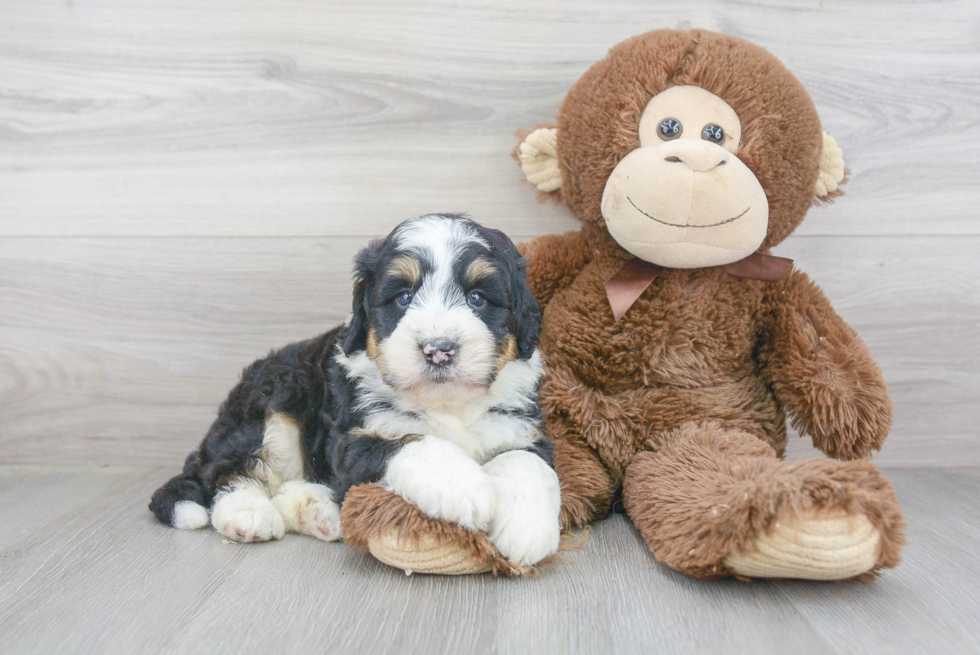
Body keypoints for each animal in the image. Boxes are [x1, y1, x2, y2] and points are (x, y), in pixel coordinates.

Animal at [146, 213, 560, 568]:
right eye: (403, 297)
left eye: (477, 299)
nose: (439, 349)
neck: (447, 405)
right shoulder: (356, 439)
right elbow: (413, 443)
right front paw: (465, 487)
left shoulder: (519, 427)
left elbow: (527, 463)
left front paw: (527, 530)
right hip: (271, 404)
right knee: (228, 470)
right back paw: (247, 515)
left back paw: (317, 511)